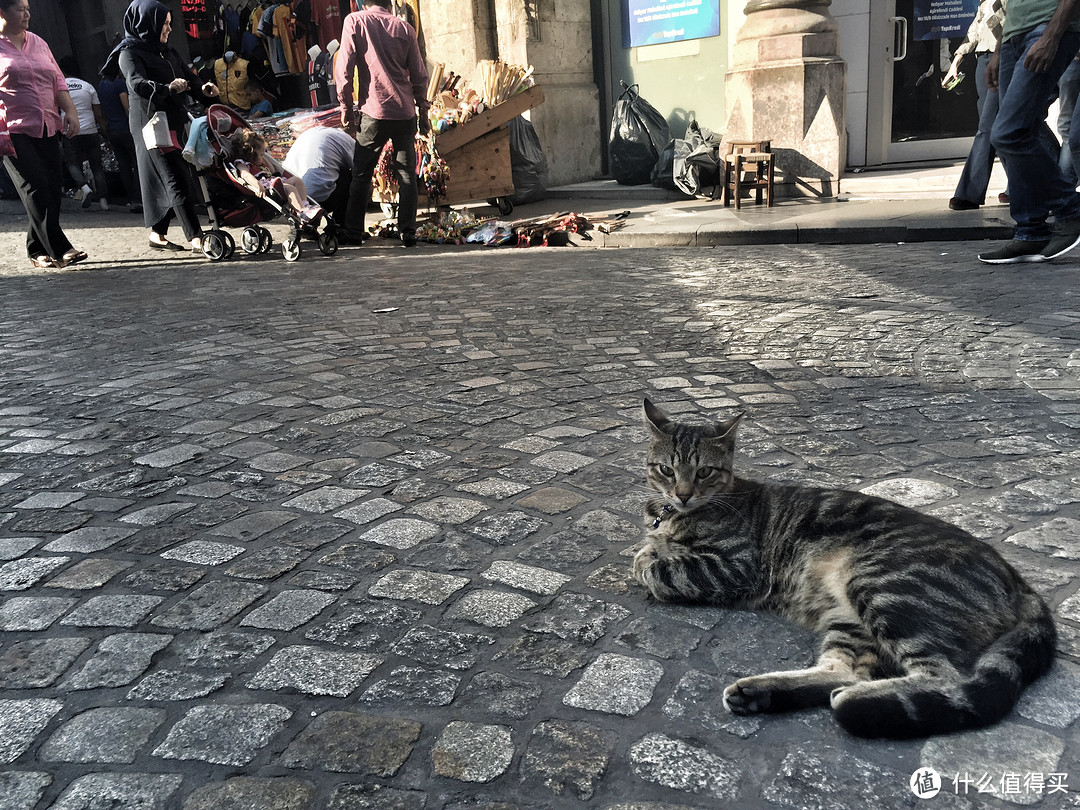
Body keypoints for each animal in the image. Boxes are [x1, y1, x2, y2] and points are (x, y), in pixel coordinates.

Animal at [630, 399, 1054, 743]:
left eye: (704, 472)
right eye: (666, 469)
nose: (683, 494)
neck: (674, 516)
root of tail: (1018, 579)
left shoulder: (736, 567)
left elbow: (654, 568)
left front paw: (650, 561)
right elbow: (650, 552)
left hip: (883, 585)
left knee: (942, 677)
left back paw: (854, 701)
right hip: (851, 618)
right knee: (847, 669)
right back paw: (763, 693)